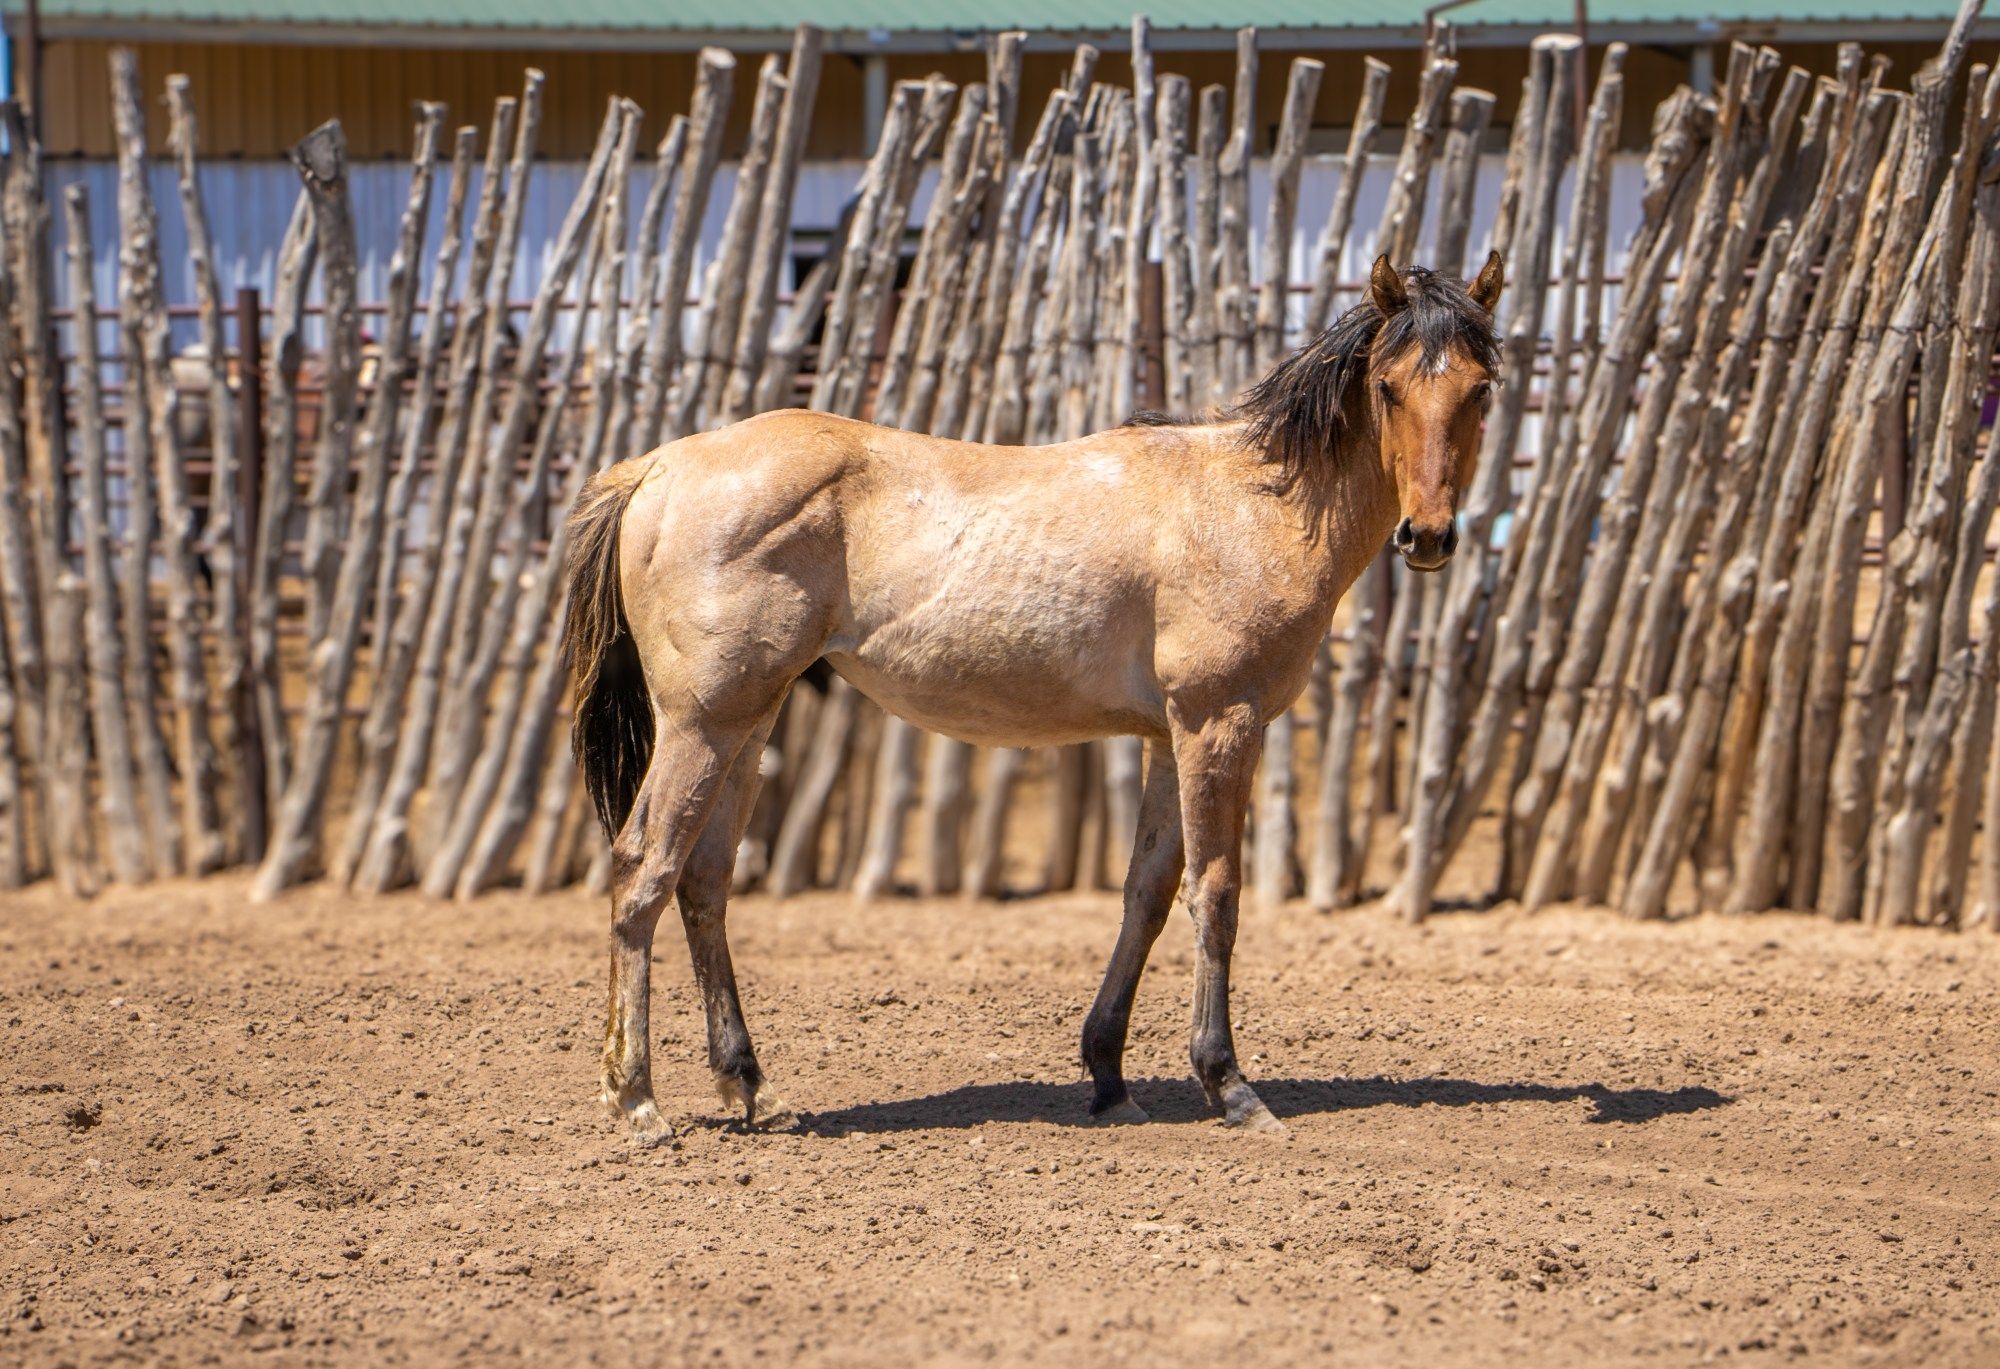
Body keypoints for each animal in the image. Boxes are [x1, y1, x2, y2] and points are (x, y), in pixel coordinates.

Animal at [564, 252, 1505, 1144]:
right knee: (643, 868)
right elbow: (1216, 892)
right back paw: (637, 1098)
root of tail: (657, 467)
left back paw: (751, 1085)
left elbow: (1147, 892)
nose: (1428, 536)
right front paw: (1228, 1083)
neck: (1250, 501)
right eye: (1388, 386)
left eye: (1480, 387)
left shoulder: (1166, 737)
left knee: (705, 879)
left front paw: (1110, 1077)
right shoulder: (1218, 723)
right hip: (703, 725)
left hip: (748, 723)